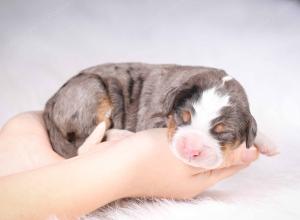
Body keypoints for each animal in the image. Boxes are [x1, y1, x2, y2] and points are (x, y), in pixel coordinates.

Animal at [43, 62, 278, 169]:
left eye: (222, 132)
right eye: (184, 117)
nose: (191, 149)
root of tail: (50, 103)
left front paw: (268, 143)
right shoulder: (152, 116)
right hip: (92, 91)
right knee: (84, 145)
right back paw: (122, 136)